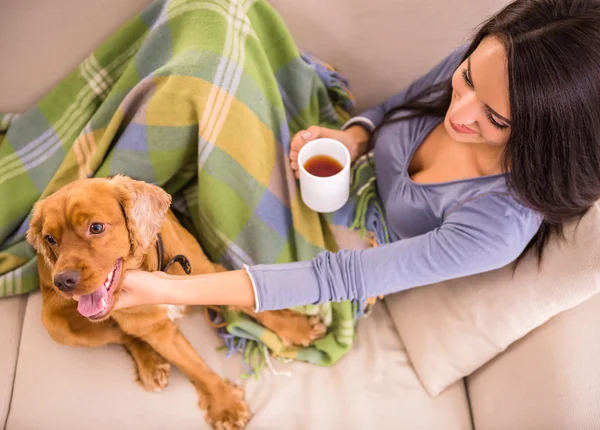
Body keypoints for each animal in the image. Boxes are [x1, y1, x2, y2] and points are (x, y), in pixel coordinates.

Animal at [26, 176, 326, 430]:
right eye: (50, 239)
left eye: (96, 227)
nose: (62, 281)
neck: (150, 269)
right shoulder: (159, 332)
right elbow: (194, 365)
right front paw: (225, 404)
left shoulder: (209, 275)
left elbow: (252, 304)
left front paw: (295, 328)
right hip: (57, 326)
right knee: (125, 334)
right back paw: (150, 365)